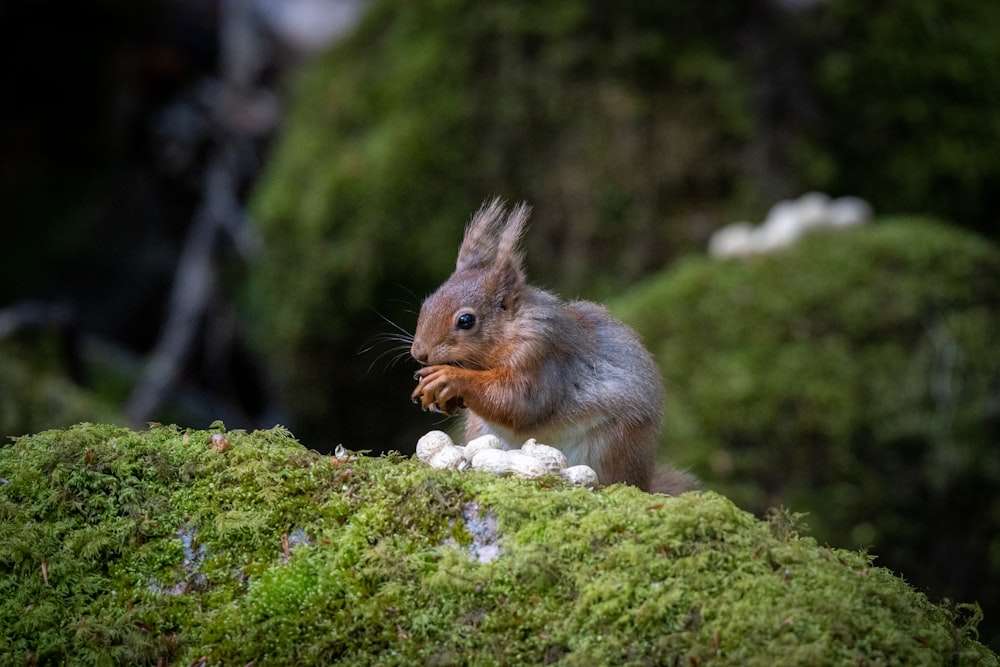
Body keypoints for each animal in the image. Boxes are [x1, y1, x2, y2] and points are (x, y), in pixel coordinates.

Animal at [408, 198, 696, 496]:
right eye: (427, 303)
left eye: (466, 321)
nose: (419, 353)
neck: (510, 332)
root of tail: (644, 480)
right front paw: (440, 397)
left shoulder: (542, 355)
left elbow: (518, 403)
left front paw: (450, 378)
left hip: (613, 447)